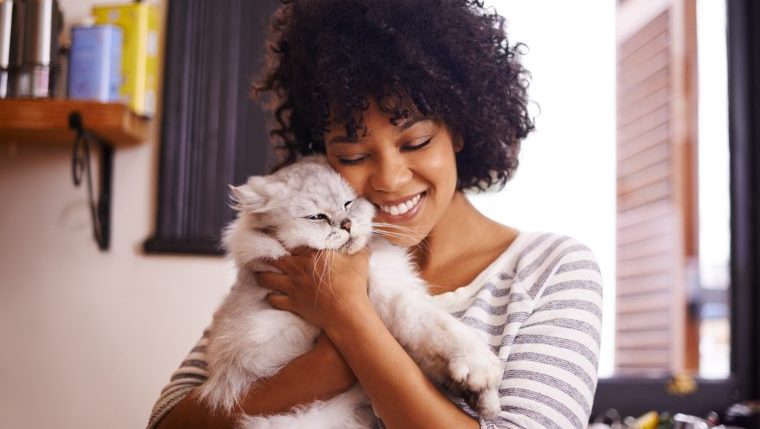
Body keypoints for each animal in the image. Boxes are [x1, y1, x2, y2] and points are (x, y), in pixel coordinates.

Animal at [199, 155, 502, 426]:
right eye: (317, 217)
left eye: (348, 203)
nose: (346, 224)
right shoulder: (389, 298)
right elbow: (440, 331)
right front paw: (480, 372)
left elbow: (437, 348)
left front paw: (482, 397)